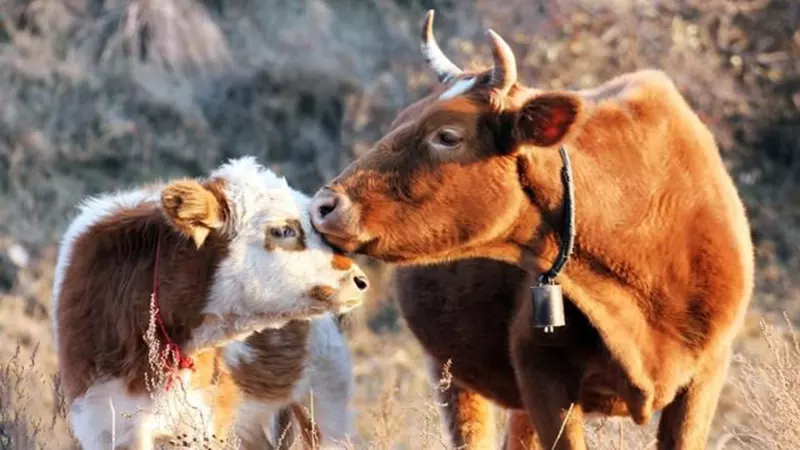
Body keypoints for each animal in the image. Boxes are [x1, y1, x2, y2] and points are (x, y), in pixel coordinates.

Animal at [310, 9, 752, 450]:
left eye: (448, 135)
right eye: (399, 121)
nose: (323, 206)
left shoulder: (706, 374)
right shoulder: (540, 375)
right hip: (450, 372)